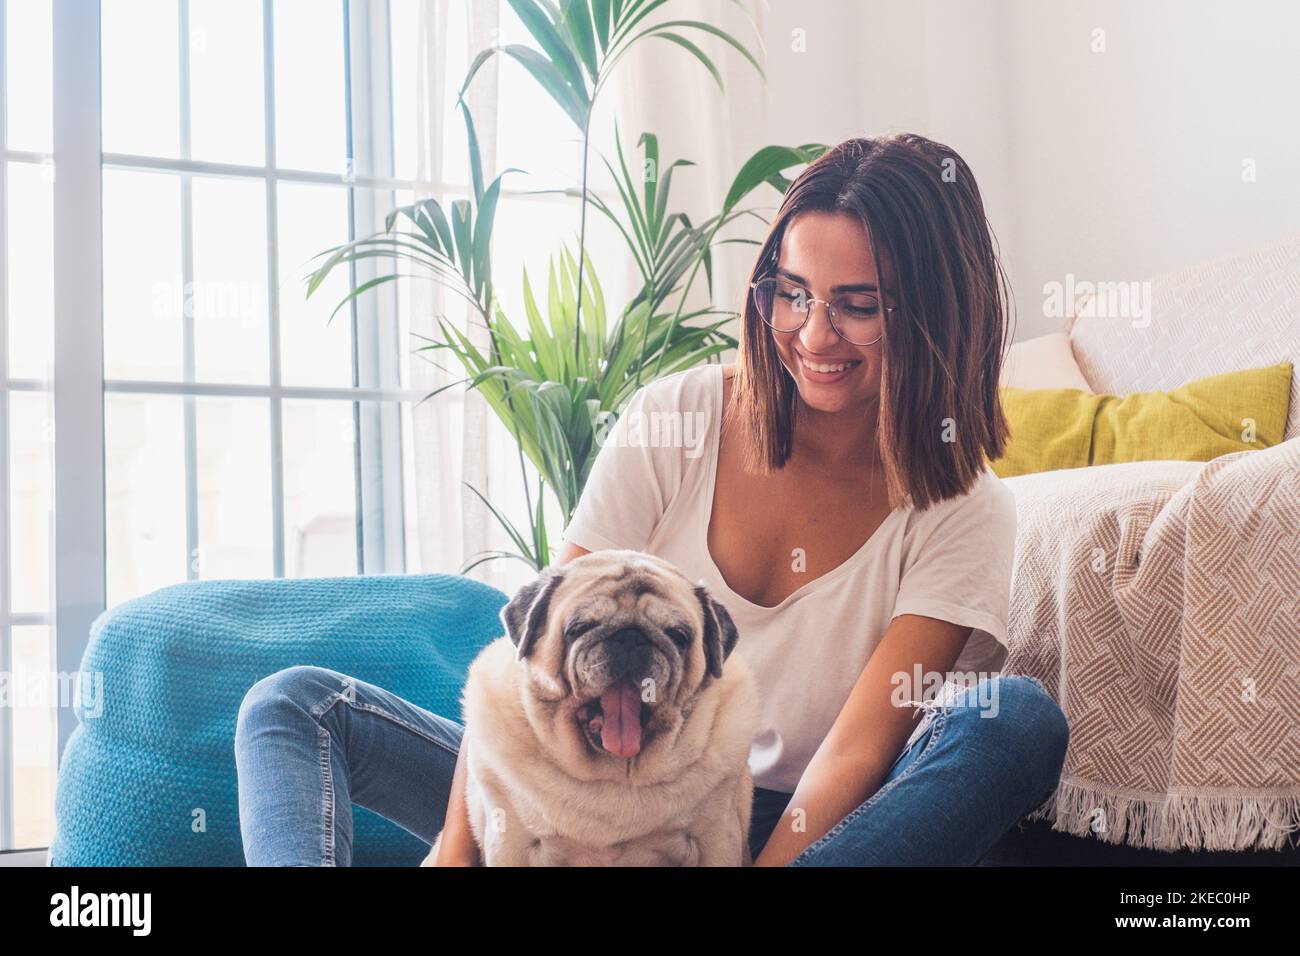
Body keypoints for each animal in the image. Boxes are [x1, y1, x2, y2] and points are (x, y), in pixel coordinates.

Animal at [421, 546, 759, 868]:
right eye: (579, 628)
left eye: (679, 635)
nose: (631, 636)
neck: (615, 777)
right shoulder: (510, 843)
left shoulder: (717, 840)